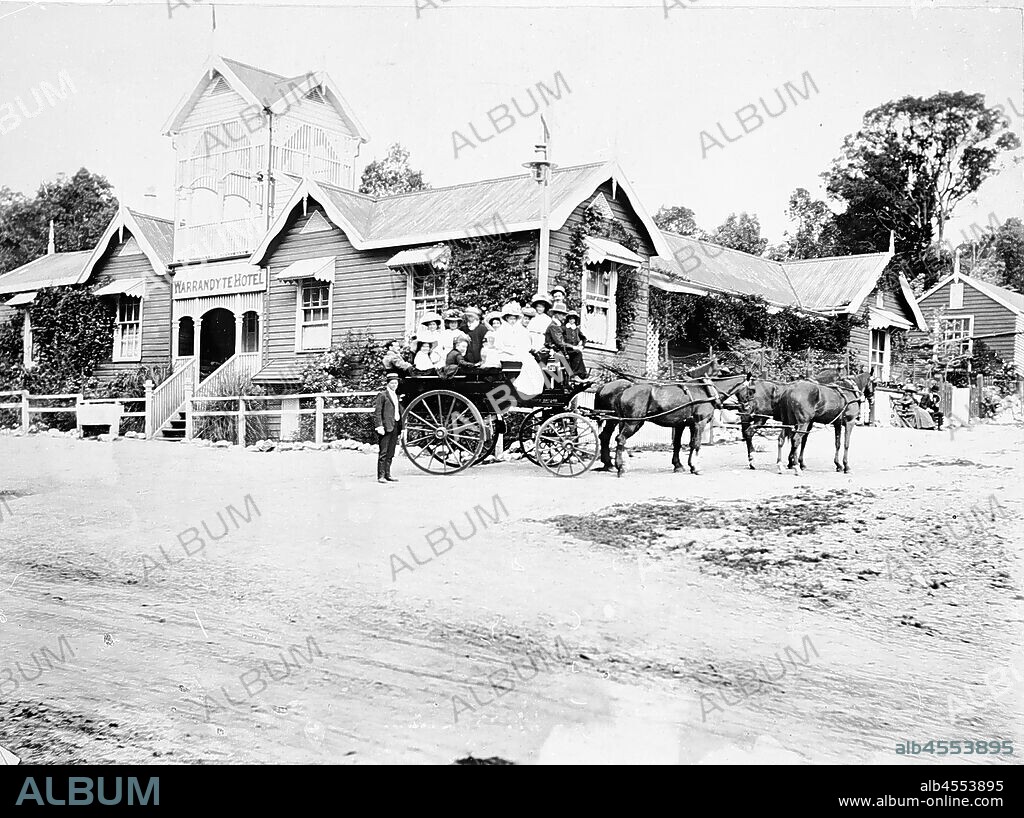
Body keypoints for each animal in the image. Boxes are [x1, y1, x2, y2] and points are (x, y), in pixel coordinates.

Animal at [593, 374, 753, 477]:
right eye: (751, 390)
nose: (748, 408)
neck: (707, 391)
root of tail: (624, 390)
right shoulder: (699, 423)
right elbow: (696, 444)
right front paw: (695, 467)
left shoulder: (682, 424)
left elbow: (679, 444)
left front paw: (680, 465)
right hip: (633, 422)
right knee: (619, 439)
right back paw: (619, 467)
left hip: (622, 420)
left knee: (609, 437)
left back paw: (612, 464)